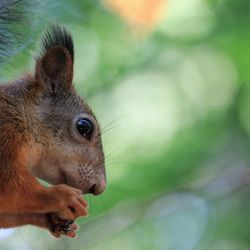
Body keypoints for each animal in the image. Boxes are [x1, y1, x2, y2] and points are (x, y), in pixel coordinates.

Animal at [0, 1, 106, 239]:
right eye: (84, 127)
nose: (100, 187)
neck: (20, 118)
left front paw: (55, 220)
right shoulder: (4, 139)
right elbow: (11, 189)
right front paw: (61, 197)